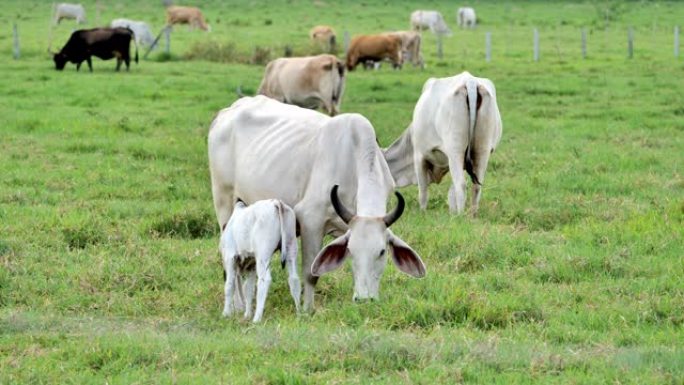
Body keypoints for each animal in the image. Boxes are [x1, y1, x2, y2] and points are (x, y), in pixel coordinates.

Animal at [384, 71, 502, 214]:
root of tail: (470, 81)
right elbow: (451, 193)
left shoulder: (419, 155)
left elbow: (423, 191)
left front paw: (422, 213)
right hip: (482, 150)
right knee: (476, 185)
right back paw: (472, 215)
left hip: (454, 150)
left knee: (461, 184)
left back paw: (461, 216)